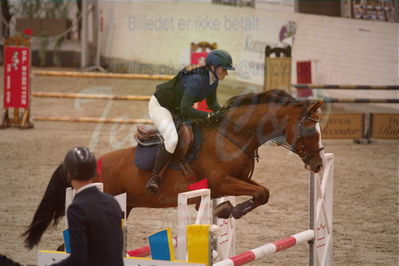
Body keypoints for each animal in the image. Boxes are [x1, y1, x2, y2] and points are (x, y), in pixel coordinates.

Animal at [21, 89, 324, 249]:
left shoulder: (237, 179)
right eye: (310, 130)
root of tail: (83, 168)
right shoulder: (221, 181)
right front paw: (231, 210)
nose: (319, 165)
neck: (234, 134)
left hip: (123, 207)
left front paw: (225, 209)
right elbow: (261, 194)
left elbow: (262, 192)